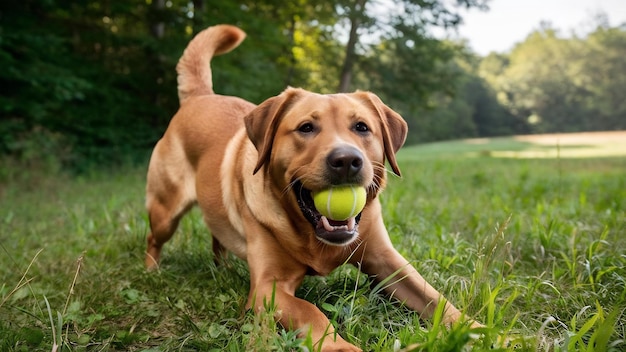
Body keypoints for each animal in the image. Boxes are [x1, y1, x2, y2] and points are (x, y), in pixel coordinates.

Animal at [143, 25, 472, 352]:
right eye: (306, 128)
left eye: (362, 127)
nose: (346, 160)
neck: (314, 237)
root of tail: (199, 98)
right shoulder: (268, 286)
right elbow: (311, 311)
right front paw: (341, 347)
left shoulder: (388, 262)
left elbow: (437, 300)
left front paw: (477, 330)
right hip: (165, 212)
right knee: (153, 238)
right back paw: (151, 270)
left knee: (217, 237)